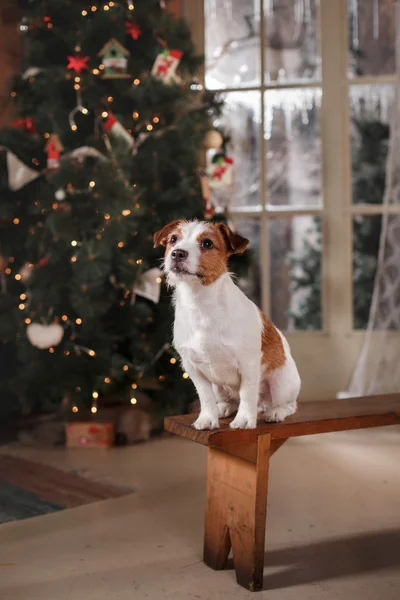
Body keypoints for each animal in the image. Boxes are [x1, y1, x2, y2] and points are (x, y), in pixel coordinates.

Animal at [153, 218, 300, 428]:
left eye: (207, 243)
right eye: (173, 239)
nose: (177, 253)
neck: (201, 304)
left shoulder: (248, 364)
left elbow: (247, 393)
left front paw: (245, 420)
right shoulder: (193, 368)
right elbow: (205, 396)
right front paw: (208, 418)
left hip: (281, 384)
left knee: (288, 405)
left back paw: (275, 412)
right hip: (219, 387)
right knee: (231, 400)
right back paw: (222, 408)